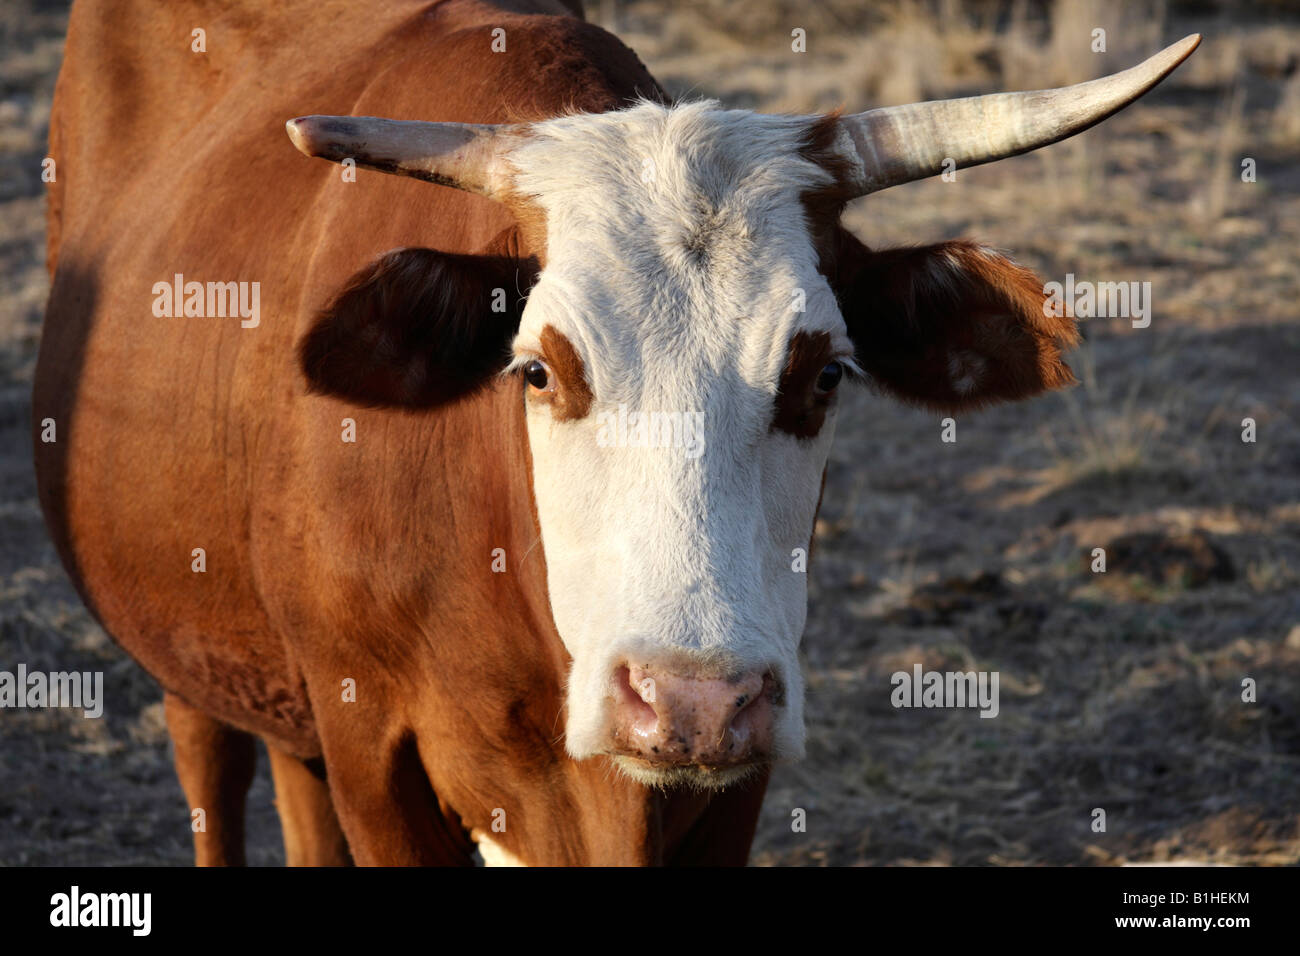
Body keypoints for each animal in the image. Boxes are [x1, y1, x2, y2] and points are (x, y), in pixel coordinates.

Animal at [34, 0, 1198, 865]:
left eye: (822, 374)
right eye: (539, 370)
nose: (691, 700)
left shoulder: (733, 780)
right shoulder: (377, 755)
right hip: (184, 643)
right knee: (213, 764)